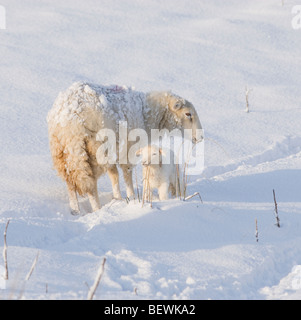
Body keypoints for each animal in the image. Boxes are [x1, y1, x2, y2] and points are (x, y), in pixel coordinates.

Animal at [47, 82, 202, 215]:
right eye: (188, 114)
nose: (200, 136)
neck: (146, 114)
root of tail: (70, 118)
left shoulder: (113, 150)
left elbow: (113, 174)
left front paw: (118, 198)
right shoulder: (127, 148)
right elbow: (126, 173)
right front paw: (131, 196)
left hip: (64, 151)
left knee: (71, 182)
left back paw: (75, 210)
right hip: (94, 149)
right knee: (90, 185)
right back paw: (97, 208)